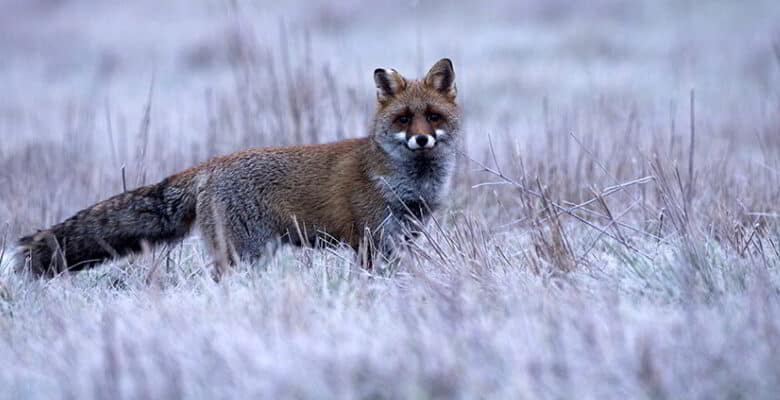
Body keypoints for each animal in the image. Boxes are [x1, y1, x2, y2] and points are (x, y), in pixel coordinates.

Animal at [14, 58, 461, 277]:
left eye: (432, 118)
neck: (410, 185)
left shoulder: (401, 237)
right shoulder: (373, 238)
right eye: (403, 119)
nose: (421, 140)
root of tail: (209, 164)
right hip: (241, 254)